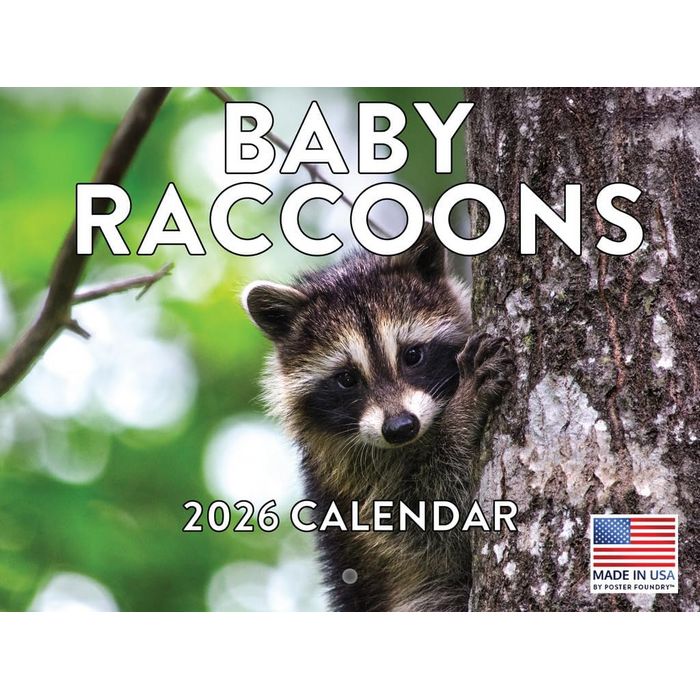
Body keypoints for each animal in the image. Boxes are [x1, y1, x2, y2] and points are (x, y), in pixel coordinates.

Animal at [242, 222, 513, 611]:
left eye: (412, 355)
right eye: (347, 379)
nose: (400, 428)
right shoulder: (354, 478)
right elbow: (431, 520)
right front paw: (462, 413)